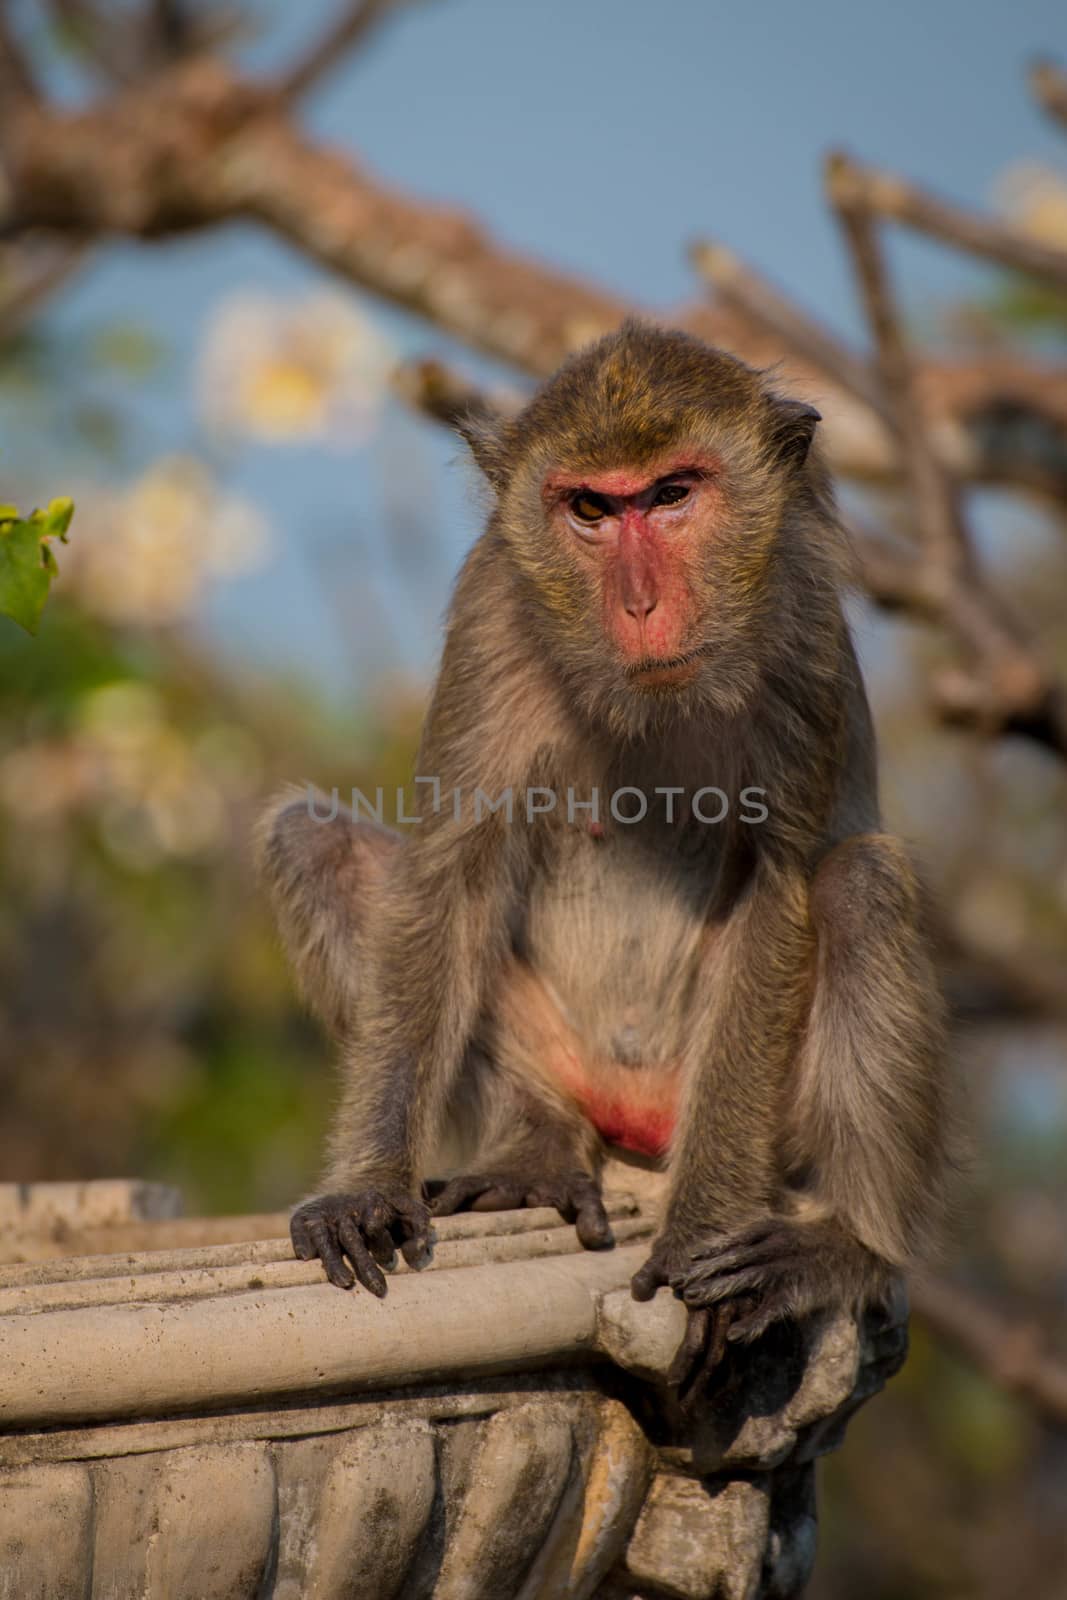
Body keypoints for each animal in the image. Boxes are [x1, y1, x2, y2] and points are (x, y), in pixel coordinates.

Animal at [260, 318, 953, 1395]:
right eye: (589, 508)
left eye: (670, 495)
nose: (637, 604)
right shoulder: (493, 606)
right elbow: (449, 872)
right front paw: (366, 1185)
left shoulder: (798, 626)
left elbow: (782, 889)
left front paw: (701, 1238)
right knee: (311, 840)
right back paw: (538, 1144)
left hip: (771, 1118)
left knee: (862, 886)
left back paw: (845, 1246)